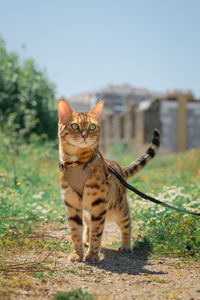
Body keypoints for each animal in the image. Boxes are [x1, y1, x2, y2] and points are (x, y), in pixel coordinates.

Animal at [57, 99, 160, 262]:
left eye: (92, 127)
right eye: (75, 126)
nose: (85, 135)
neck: (76, 163)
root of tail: (119, 168)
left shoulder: (99, 204)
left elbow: (97, 233)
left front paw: (92, 255)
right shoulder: (71, 203)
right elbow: (75, 231)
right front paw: (78, 253)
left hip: (117, 209)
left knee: (127, 224)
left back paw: (125, 246)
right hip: (88, 209)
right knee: (87, 224)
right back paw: (85, 240)